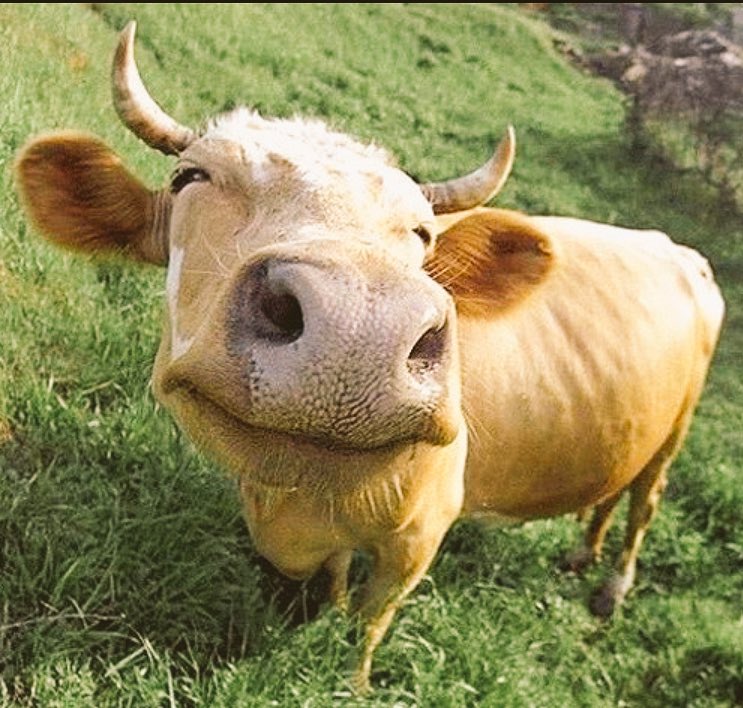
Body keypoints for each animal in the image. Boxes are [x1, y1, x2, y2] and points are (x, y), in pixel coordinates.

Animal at [15, 22, 724, 693]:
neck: (292, 503)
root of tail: (675, 248)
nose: (355, 330)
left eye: (422, 233)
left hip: (680, 428)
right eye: (192, 176)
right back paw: (584, 552)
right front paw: (323, 608)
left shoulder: (419, 537)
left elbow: (369, 621)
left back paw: (611, 588)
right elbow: (335, 581)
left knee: (645, 503)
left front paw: (350, 679)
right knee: (613, 492)